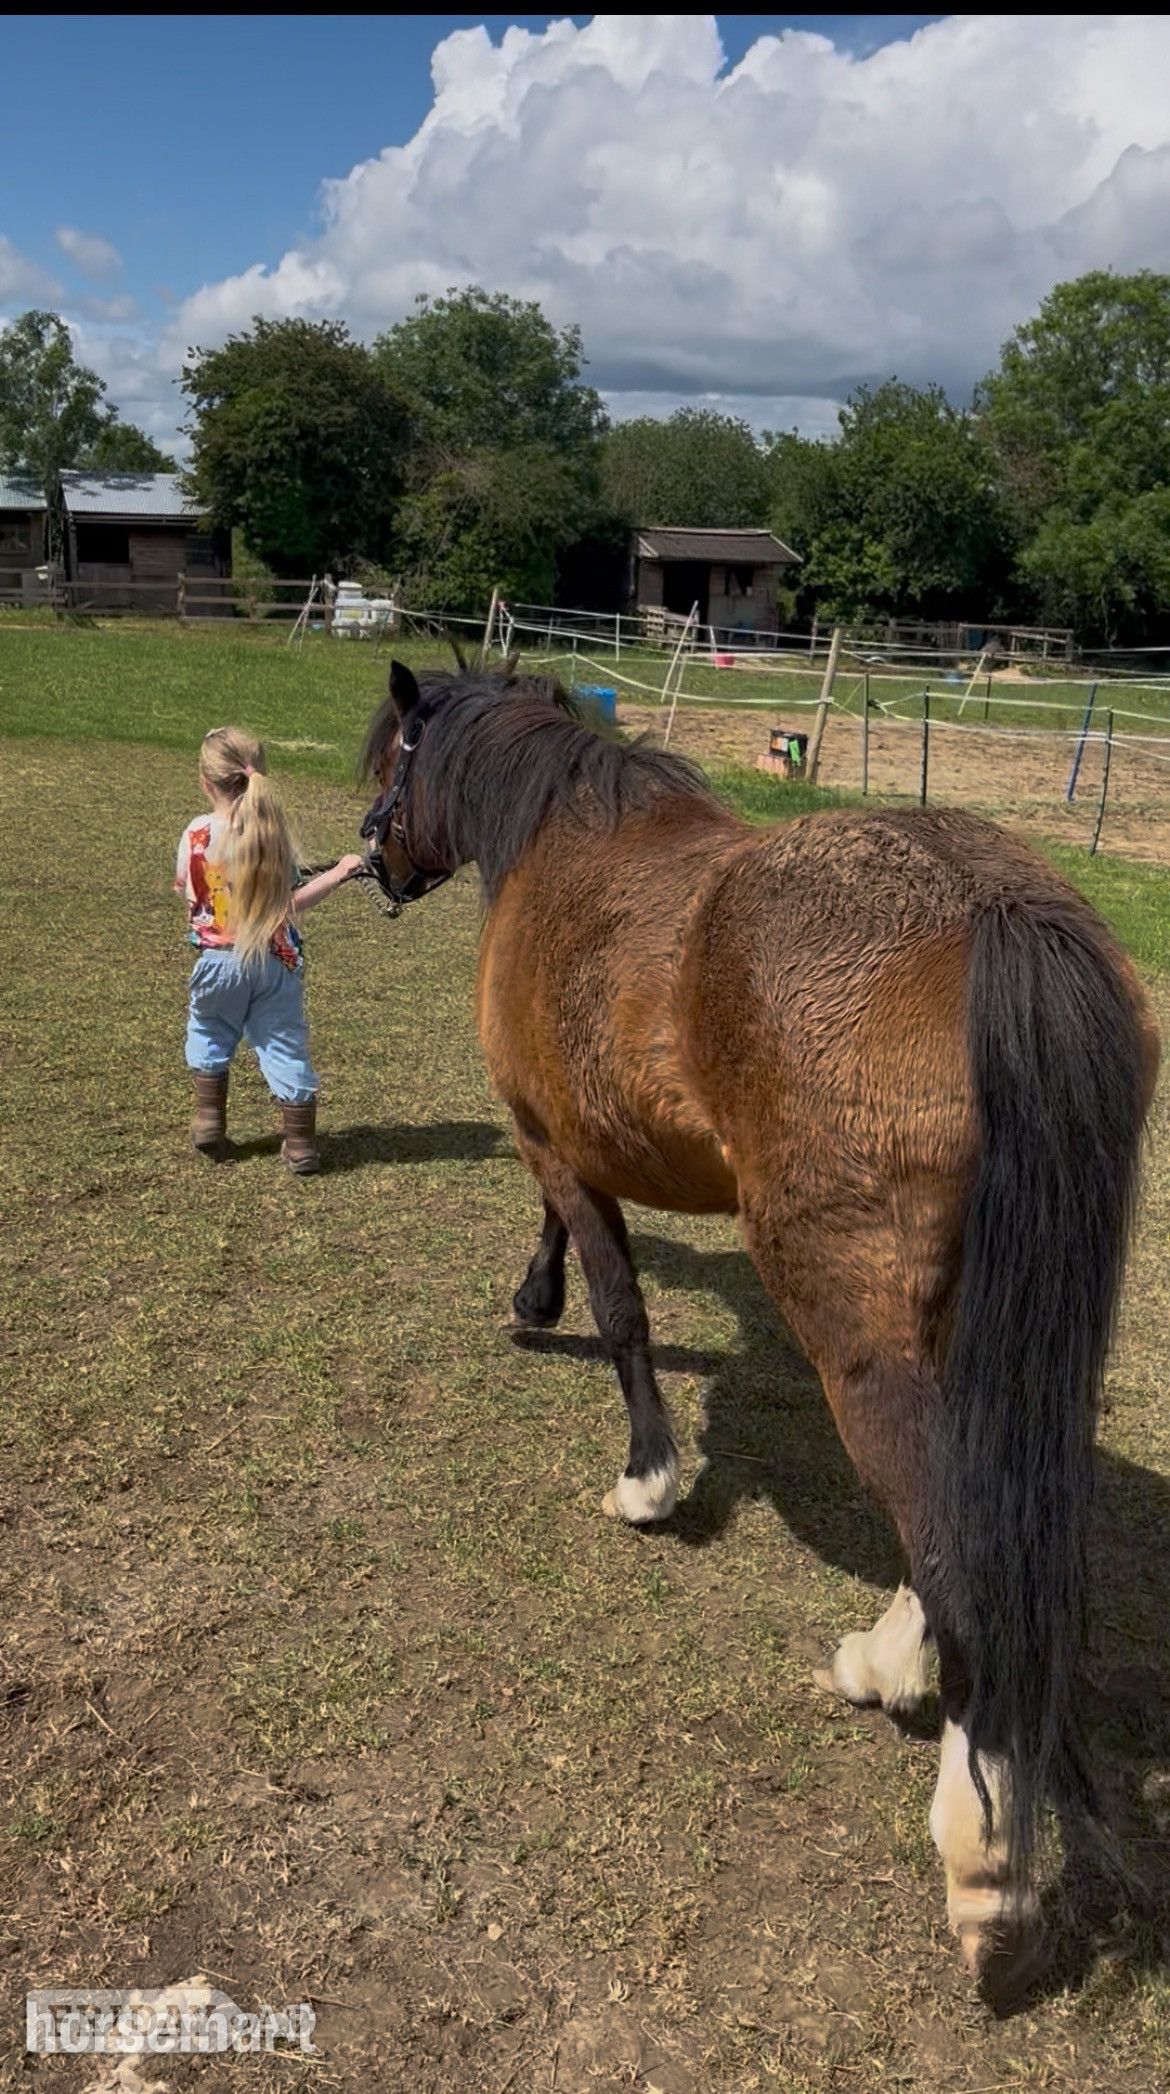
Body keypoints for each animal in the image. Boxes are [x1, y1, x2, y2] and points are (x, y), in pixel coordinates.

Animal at [358, 658, 1160, 1996]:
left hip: (857, 1332)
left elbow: (618, 1304)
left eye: (392, 760)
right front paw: (534, 1307)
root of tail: (999, 915)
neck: (563, 837)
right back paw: (892, 1669)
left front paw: (645, 1474)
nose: (374, 857)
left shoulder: (549, 1135)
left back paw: (983, 1864)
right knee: (968, 1519)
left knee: (955, 1554)